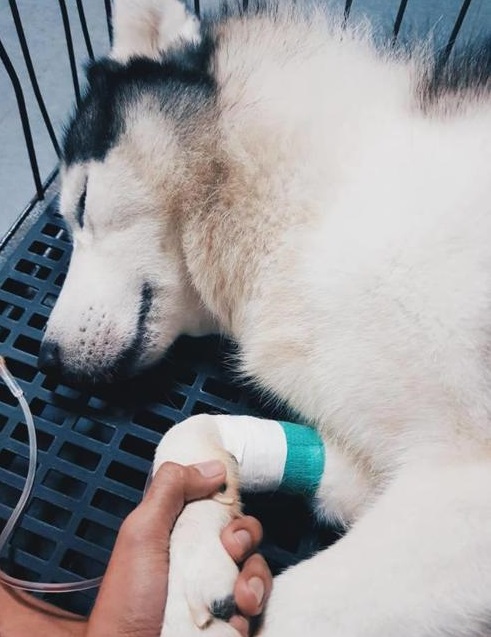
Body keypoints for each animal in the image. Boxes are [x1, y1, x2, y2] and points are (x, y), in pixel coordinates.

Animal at [39, 0, 491, 634]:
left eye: (80, 204)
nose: (45, 359)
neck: (303, 209)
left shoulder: (464, 482)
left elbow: (295, 612)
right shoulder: (372, 469)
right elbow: (188, 432)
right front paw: (197, 561)